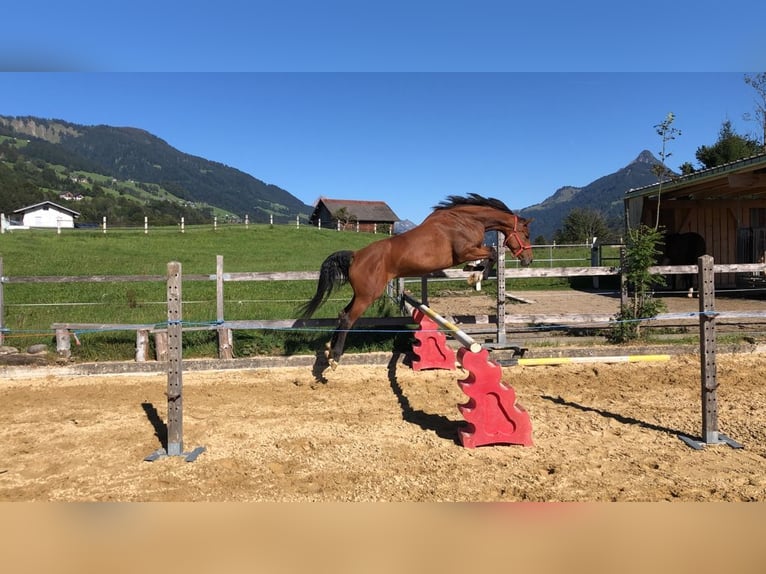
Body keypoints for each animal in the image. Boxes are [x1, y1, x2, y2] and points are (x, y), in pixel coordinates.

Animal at [298, 193, 534, 368]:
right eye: (526, 234)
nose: (528, 260)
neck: (464, 220)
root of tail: (356, 255)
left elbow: (488, 254)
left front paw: (474, 272)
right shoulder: (465, 251)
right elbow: (492, 253)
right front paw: (476, 275)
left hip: (361, 293)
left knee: (342, 314)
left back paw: (329, 349)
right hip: (368, 295)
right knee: (348, 318)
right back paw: (335, 358)